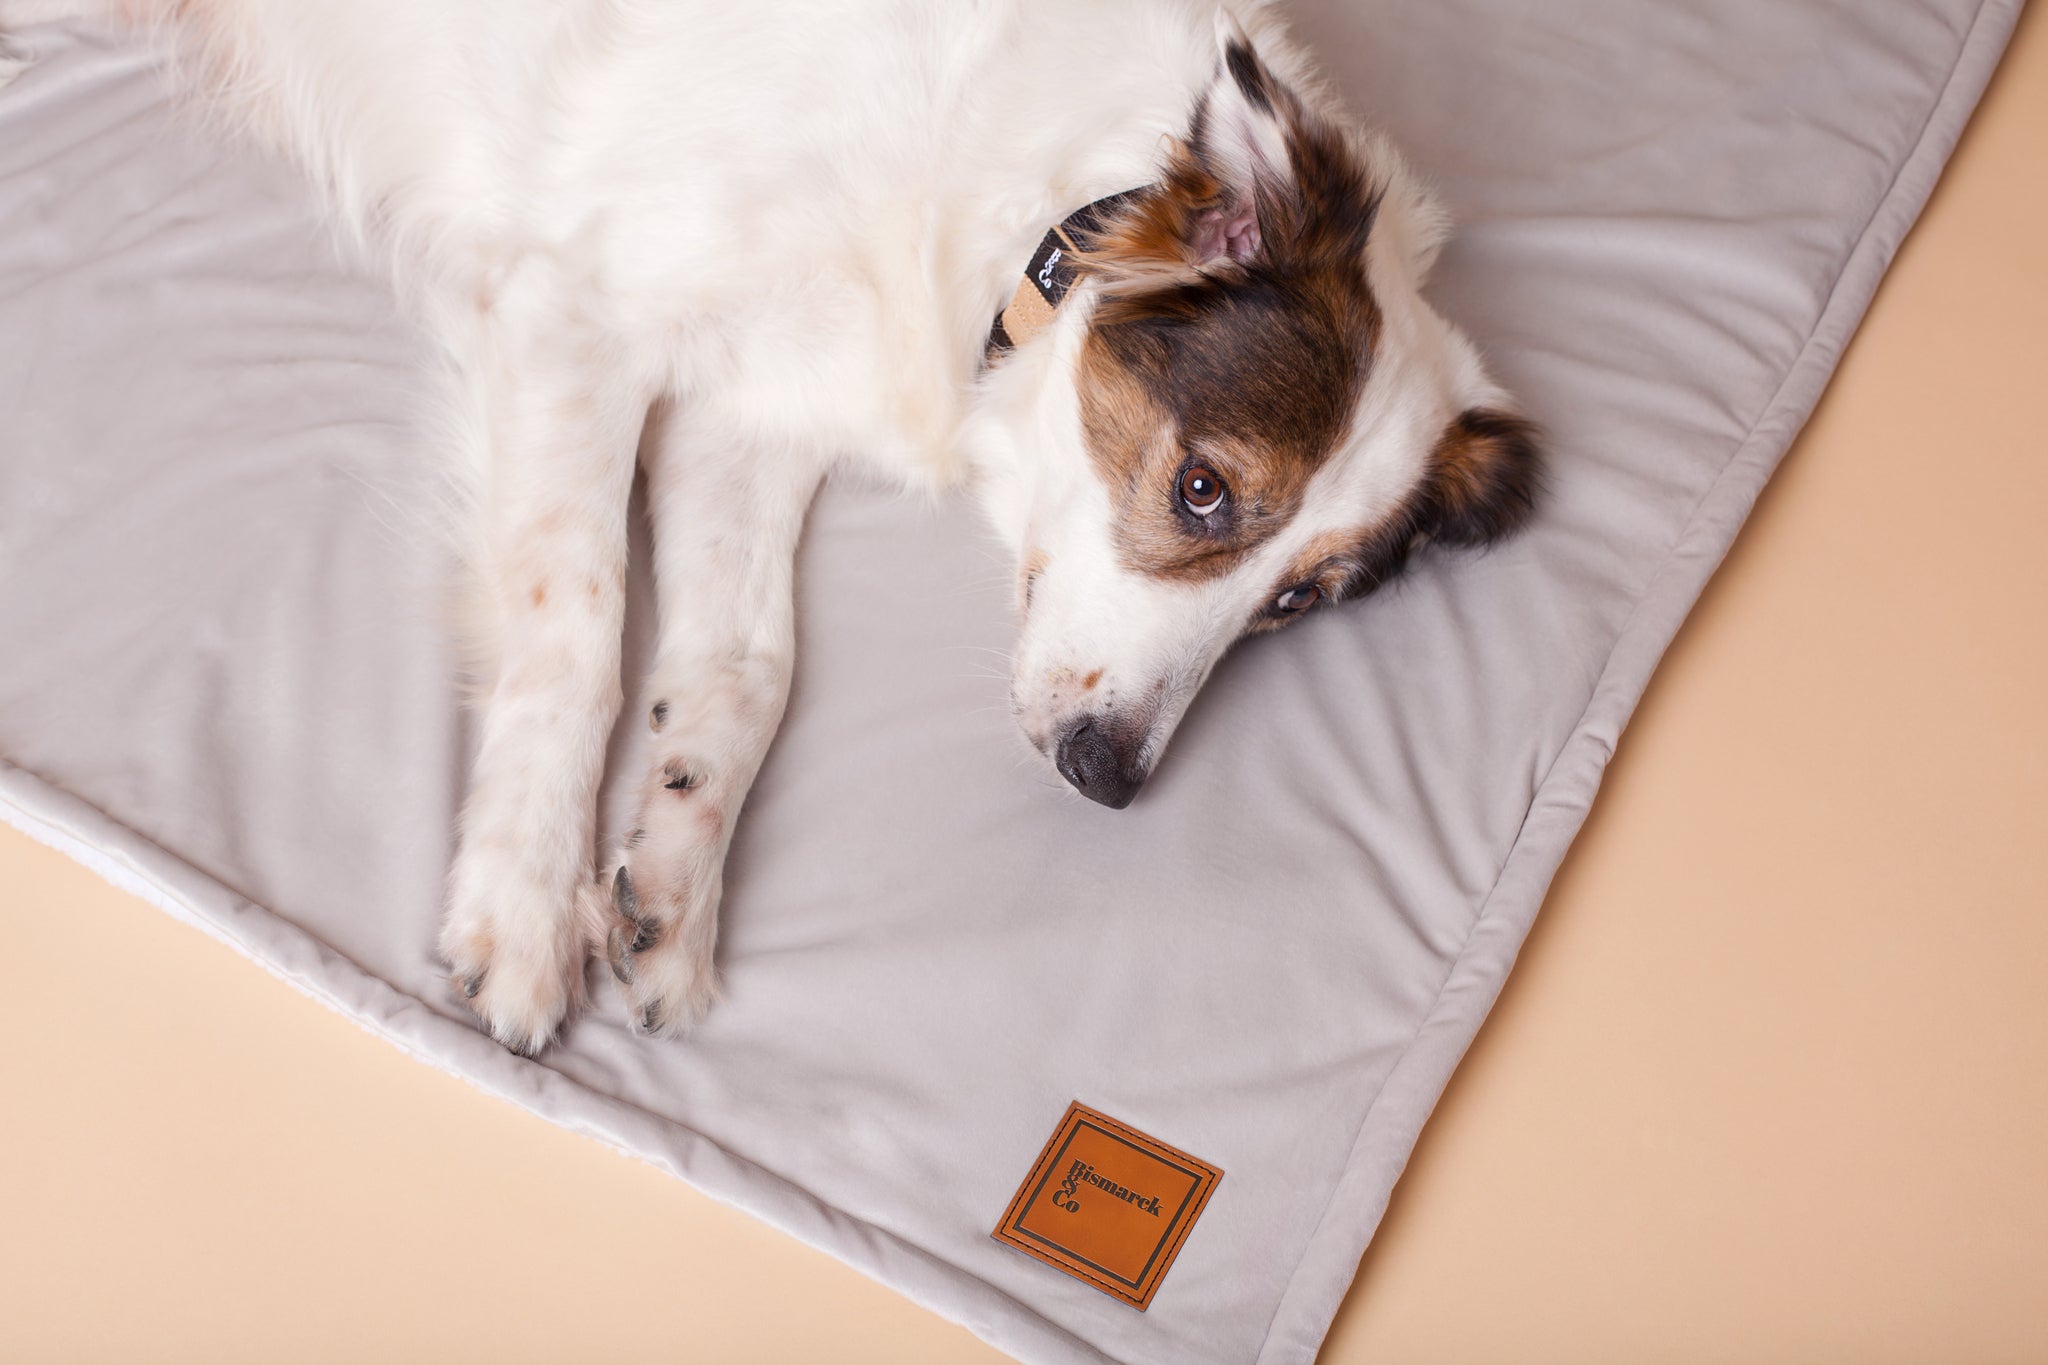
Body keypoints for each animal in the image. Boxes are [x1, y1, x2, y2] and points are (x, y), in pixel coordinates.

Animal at [4, 0, 1540, 1055]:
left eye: (1296, 602)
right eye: (1205, 489)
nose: (1107, 778)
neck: (1014, 195)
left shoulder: (752, 407)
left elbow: (745, 671)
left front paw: (669, 883)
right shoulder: (579, 317)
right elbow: (580, 631)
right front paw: (524, 901)